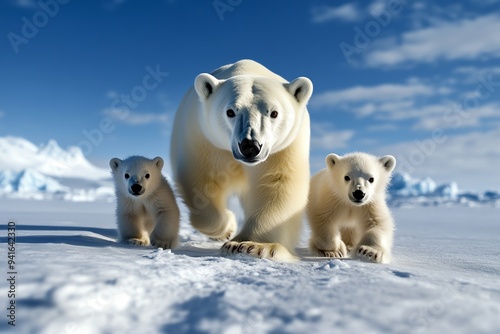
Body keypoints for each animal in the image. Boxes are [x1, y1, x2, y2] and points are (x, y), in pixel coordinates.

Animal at [172, 60, 312, 264]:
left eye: (274, 113)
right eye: (230, 112)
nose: (250, 146)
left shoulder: (284, 148)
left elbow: (279, 185)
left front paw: (250, 245)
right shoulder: (203, 138)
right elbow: (201, 181)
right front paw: (228, 228)